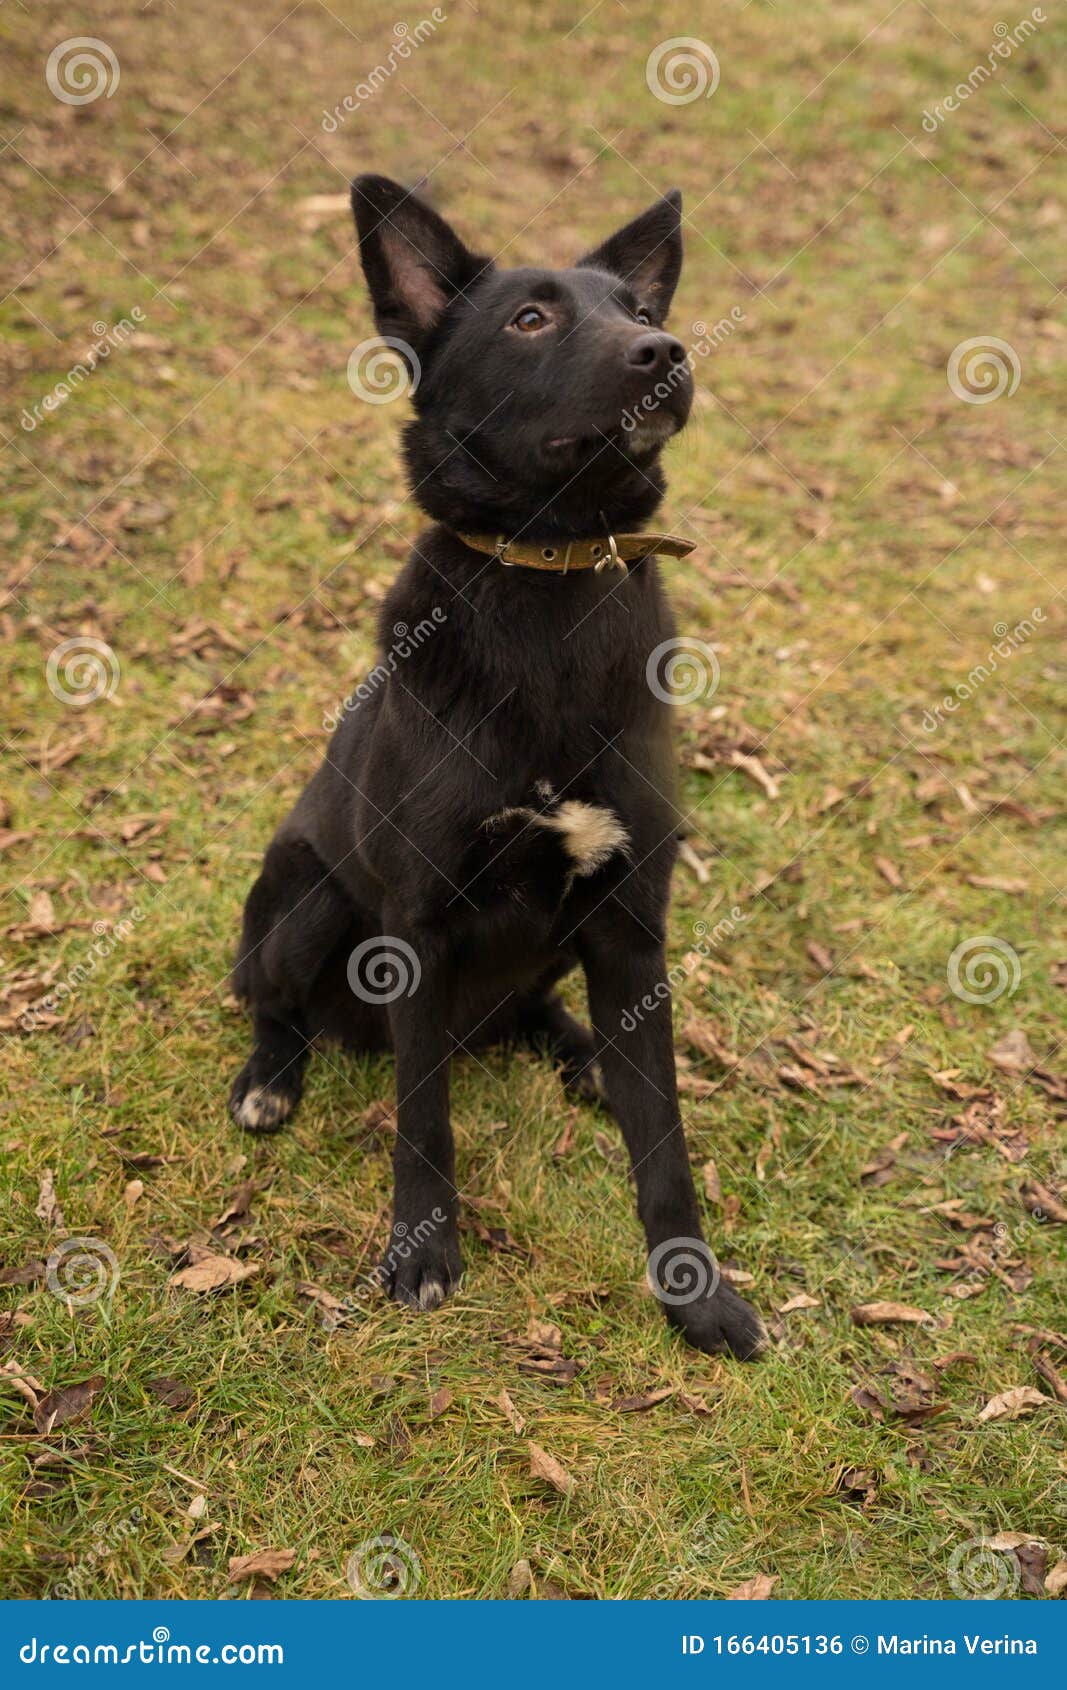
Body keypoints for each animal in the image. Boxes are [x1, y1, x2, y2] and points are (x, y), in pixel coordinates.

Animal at [229, 174, 766, 1360]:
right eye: (529, 319)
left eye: (633, 306)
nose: (665, 350)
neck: (549, 574)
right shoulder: (415, 928)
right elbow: (422, 1118)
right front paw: (420, 1253)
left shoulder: (630, 918)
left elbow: (663, 1135)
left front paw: (692, 1292)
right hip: (312, 911)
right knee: (273, 1003)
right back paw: (269, 1080)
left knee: (533, 1010)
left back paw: (581, 1051)